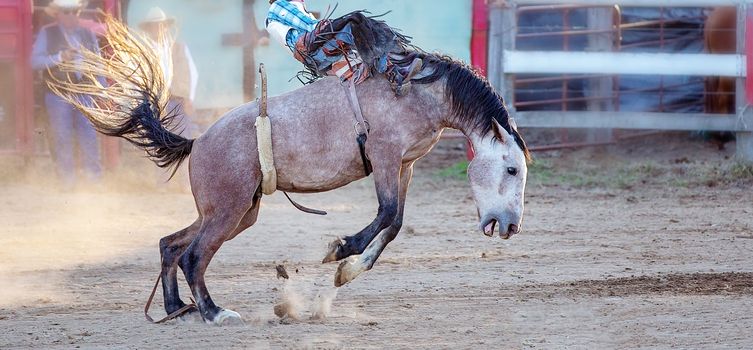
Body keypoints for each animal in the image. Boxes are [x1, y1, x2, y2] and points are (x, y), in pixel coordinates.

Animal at [48, 14, 528, 326]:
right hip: (228, 210)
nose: (510, 227)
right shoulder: (386, 157)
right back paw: (213, 313)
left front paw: (347, 270)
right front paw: (340, 250)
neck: (418, 89)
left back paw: (174, 309)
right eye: (510, 170)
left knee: (171, 245)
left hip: (237, 211)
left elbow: (394, 223)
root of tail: (197, 142)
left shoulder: (405, 165)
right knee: (194, 255)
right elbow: (387, 215)